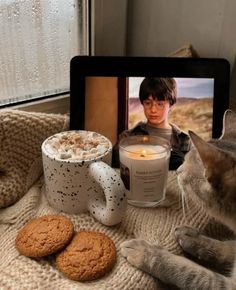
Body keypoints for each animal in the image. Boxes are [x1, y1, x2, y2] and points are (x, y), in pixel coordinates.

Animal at [121, 110, 236, 288]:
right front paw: (194, 238)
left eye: (185, 168)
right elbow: (227, 245)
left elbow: (190, 272)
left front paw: (146, 252)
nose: (177, 170)